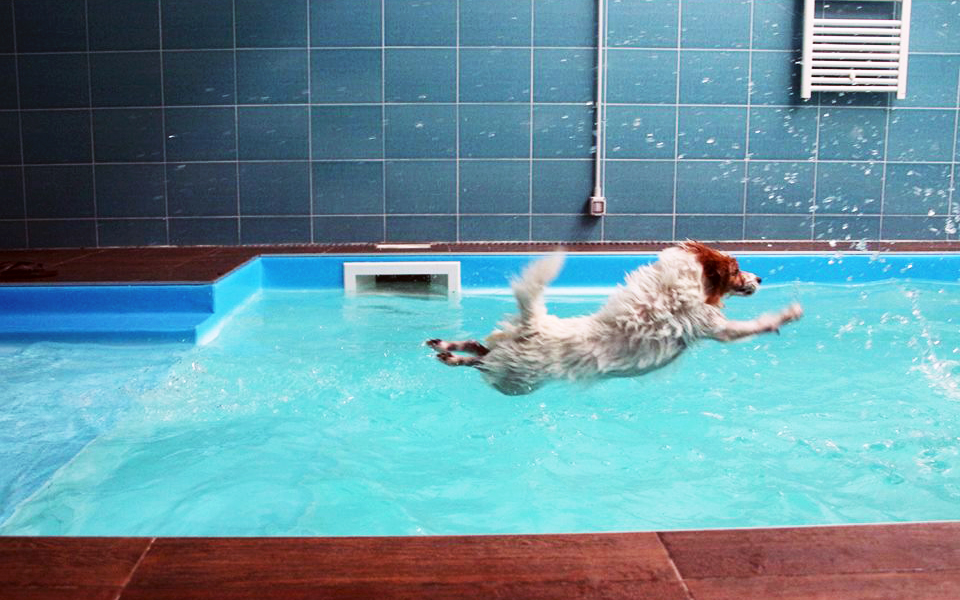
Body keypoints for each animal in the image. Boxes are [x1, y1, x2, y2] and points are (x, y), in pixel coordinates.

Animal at [428, 241, 804, 396]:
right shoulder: (714, 327)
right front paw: (786, 315)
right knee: (479, 361)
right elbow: (754, 326)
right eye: (737, 270)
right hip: (517, 382)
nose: (760, 278)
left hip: (508, 359)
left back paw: (444, 345)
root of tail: (534, 325)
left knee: (478, 347)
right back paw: (451, 356)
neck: (675, 287)